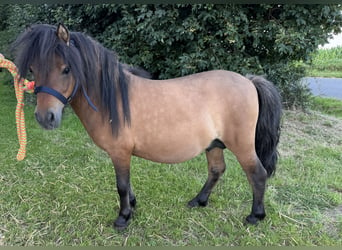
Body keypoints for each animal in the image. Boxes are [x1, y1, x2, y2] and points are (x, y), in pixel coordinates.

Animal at [12, 23, 282, 230]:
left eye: (66, 69)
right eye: (33, 69)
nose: (45, 117)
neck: (112, 99)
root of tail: (248, 81)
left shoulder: (120, 152)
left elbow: (121, 185)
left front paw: (123, 218)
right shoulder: (123, 154)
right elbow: (127, 184)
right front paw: (132, 205)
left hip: (242, 146)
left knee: (257, 174)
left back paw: (255, 216)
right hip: (214, 145)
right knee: (216, 170)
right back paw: (198, 201)